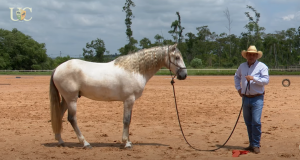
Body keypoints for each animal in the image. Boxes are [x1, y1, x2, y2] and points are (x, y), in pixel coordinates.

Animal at [49, 43, 188, 148]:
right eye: (176, 57)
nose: (184, 75)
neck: (135, 70)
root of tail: (57, 68)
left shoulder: (130, 101)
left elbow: (129, 120)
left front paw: (128, 141)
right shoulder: (129, 100)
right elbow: (126, 120)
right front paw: (126, 143)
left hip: (66, 100)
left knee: (59, 116)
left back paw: (60, 141)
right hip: (71, 99)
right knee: (72, 119)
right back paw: (85, 143)